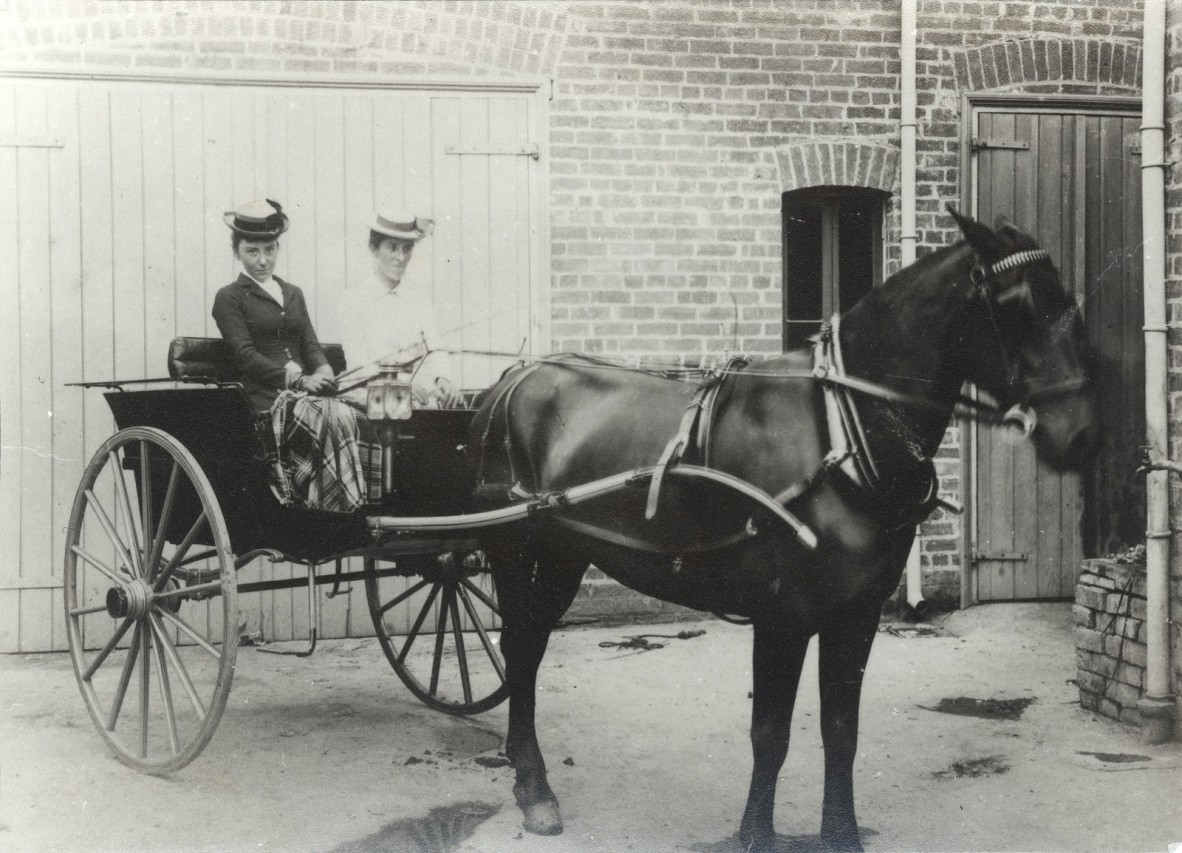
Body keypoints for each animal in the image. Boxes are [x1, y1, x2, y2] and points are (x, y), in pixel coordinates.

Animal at [465, 207, 1092, 850]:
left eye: (1069, 302)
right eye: (1018, 304)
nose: (1079, 434)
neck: (839, 432)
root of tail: (509, 381)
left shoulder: (857, 613)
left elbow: (841, 731)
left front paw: (841, 834)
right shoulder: (782, 615)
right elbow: (771, 733)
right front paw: (755, 833)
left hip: (565, 551)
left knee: (531, 646)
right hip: (516, 548)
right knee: (519, 646)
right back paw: (534, 786)